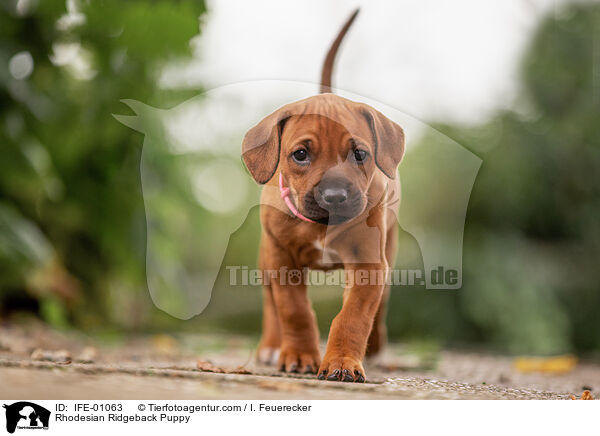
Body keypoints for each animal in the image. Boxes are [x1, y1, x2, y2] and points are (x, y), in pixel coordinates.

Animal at [241, 7, 406, 382]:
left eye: (359, 154)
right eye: (301, 155)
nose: (334, 196)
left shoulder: (369, 263)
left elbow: (353, 316)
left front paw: (343, 360)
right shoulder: (282, 259)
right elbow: (293, 310)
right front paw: (300, 355)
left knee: (382, 304)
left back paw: (375, 346)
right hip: (265, 257)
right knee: (271, 304)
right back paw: (271, 346)